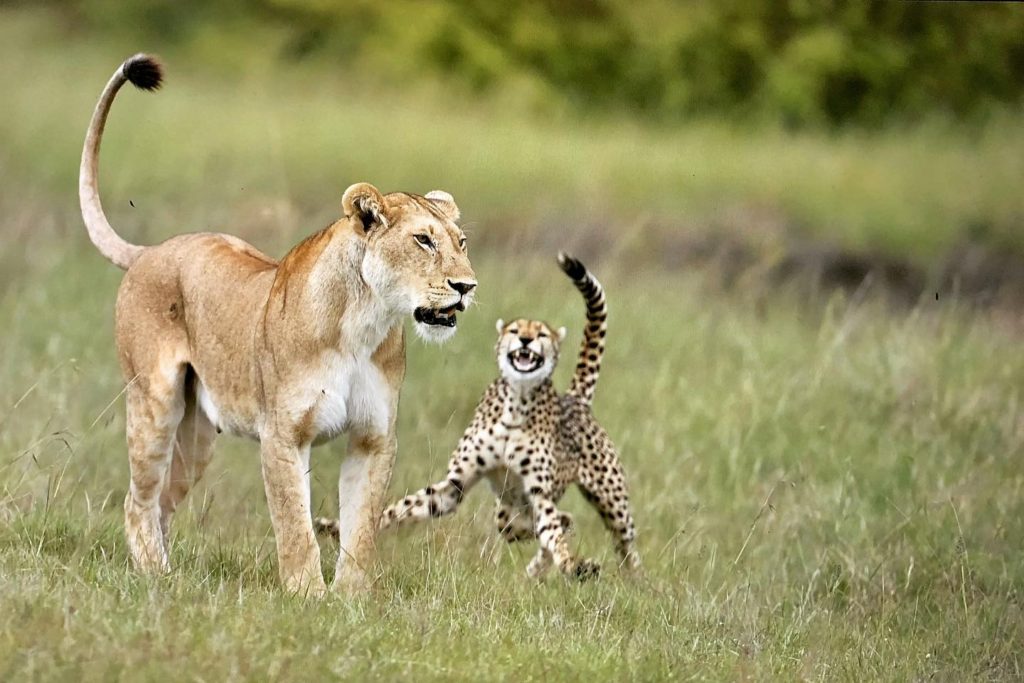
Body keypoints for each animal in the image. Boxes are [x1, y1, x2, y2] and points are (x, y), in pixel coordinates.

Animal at [319, 253, 638, 581]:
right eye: (515, 331)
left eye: (541, 334)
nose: (526, 340)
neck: (516, 404)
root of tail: (574, 398)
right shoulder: (454, 486)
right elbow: (397, 509)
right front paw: (335, 528)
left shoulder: (539, 494)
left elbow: (554, 535)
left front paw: (575, 565)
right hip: (509, 509)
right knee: (536, 523)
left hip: (610, 499)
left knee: (620, 540)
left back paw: (636, 581)